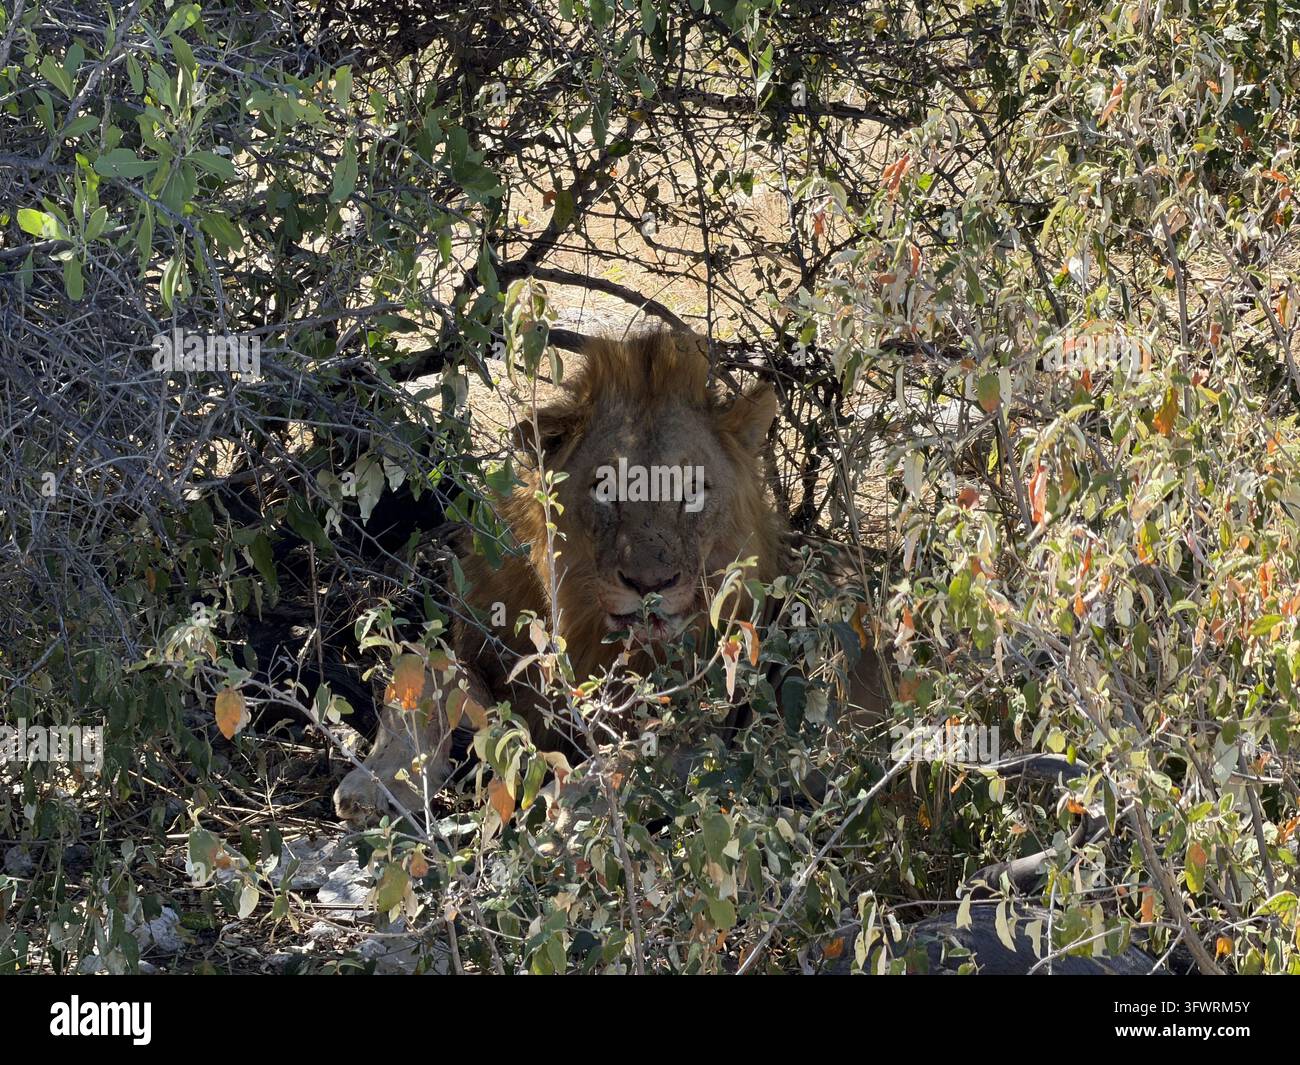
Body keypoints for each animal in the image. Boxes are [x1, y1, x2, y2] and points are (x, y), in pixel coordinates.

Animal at [333, 329, 887, 823]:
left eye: (692, 491)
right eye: (605, 487)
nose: (649, 585)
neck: (584, 627)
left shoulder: (712, 730)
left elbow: (634, 758)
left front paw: (565, 803)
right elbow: (421, 665)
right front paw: (374, 783)